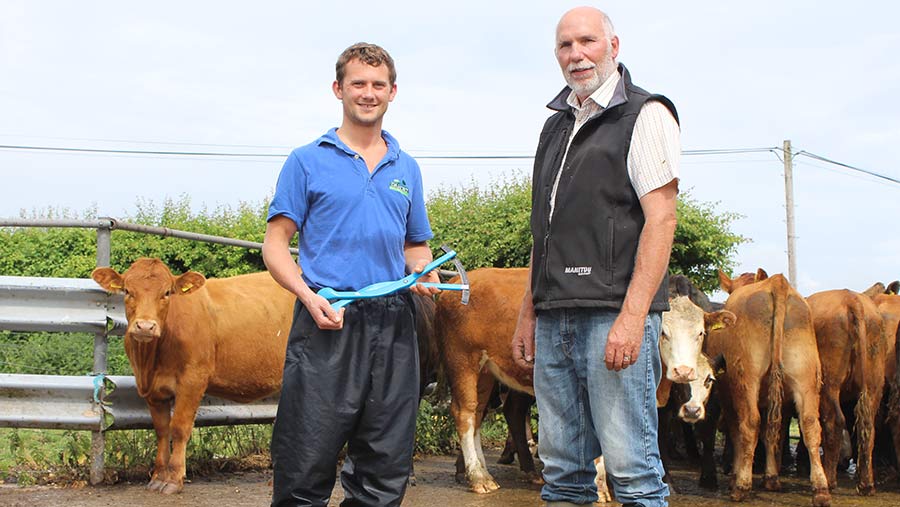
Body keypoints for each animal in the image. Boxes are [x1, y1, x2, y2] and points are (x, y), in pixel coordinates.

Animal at [90, 260, 292, 494]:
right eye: (128, 291)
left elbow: (179, 428)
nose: (146, 326)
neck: (152, 359)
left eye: (166, 293)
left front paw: (173, 479)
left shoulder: (192, 381)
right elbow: (161, 430)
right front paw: (158, 476)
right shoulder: (153, 390)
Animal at [712, 272, 828, 506]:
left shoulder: (727, 393)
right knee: (810, 424)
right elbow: (773, 433)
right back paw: (821, 490)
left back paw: (741, 486)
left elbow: (738, 431)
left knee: (749, 424)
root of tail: (777, 283)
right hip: (806, 377)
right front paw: (771, 477)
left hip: (746, 378)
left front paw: (737, 476)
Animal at [808, 292, 884, 494]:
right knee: (869, 426)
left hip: (829, 383)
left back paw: (830, 480)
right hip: (874, 384)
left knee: (833, 422)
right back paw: (866, 484)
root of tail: (851, 299)